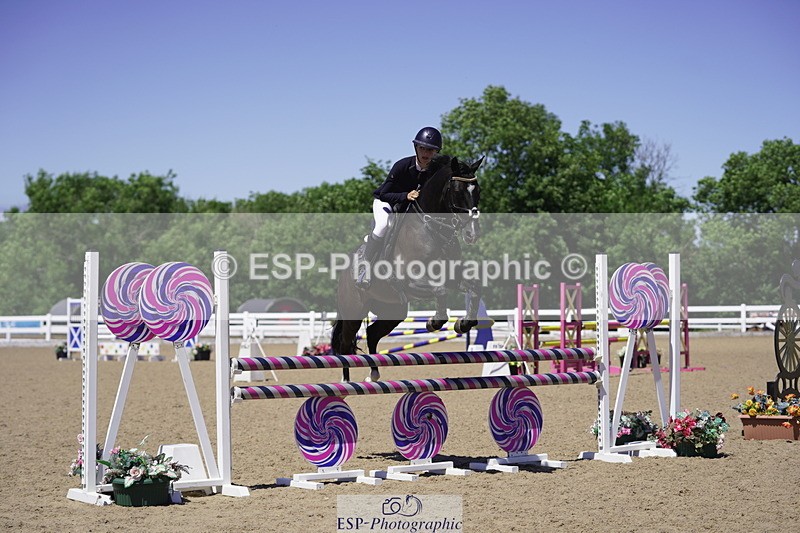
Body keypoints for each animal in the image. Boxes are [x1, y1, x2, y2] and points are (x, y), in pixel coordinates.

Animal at [331, 155, 484, 381]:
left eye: (478, 191)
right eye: (457, 191)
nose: (472, 234)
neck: (432, 229)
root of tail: (344, 275)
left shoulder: (451, 277)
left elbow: (473, 287)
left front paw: (462, 324)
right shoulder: (411, 282)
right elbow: (440, 291)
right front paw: (433, 323)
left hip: (392, 310)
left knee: (372, 334)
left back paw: (373, 375)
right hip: (354, 310)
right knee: (345, 344)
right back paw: (345, 381)